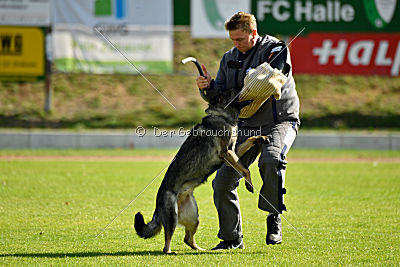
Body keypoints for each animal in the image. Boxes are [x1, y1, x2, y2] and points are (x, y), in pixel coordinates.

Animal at [134, 92, 268, 255]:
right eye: (233, 92)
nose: (243, 89)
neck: (221, 115)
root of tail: (157, 207)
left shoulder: (231, 152)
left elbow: (248, 142)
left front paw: (260, 138)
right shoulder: (227, 153)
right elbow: (246, 169)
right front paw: (249, 184)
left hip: (194, 218)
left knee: (188, 239)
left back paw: (201, 250)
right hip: (172, 217)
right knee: (167, 243)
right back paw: (171, 252)